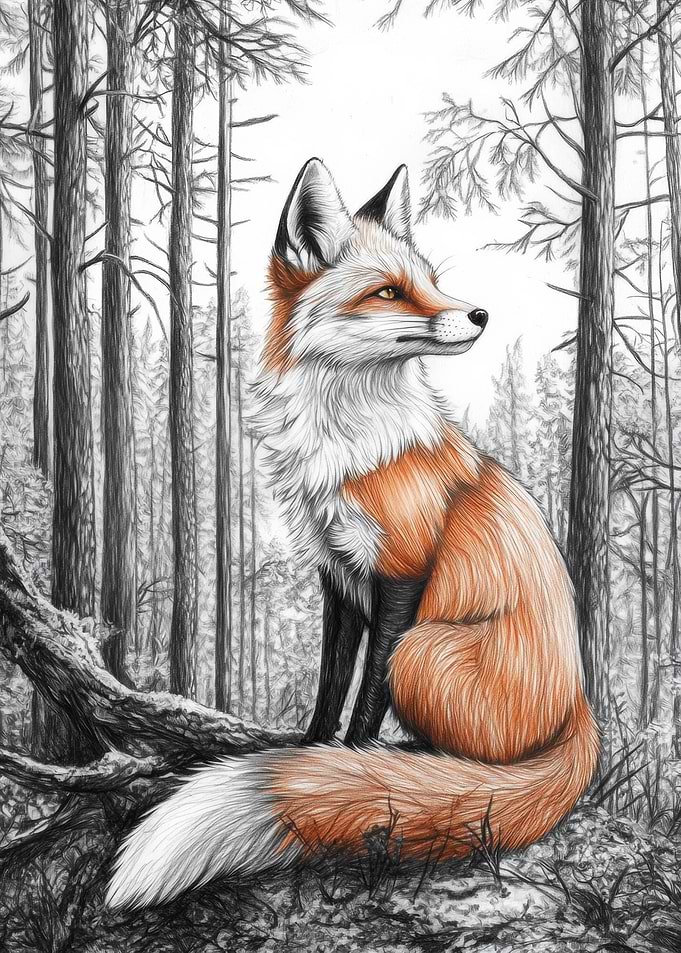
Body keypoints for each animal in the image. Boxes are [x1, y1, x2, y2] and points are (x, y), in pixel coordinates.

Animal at [106, 158, 600, 910]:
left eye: (430, 279)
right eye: (389, 291)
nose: (480, 313)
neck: (347, 452)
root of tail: (579, 707)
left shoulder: (401, 573)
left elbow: (366, 697)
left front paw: (351, 762)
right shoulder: (337, 577)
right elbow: (332, 682)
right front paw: (314, 748)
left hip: (423, 650)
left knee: (483, 757)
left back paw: (425, 765)